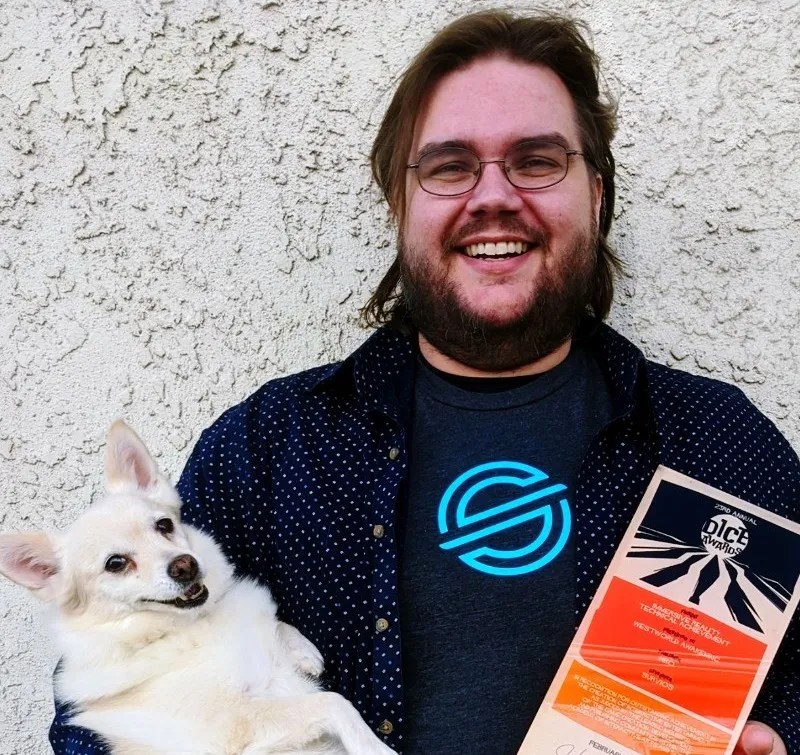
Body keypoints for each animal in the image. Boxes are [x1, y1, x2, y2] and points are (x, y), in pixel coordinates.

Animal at [0, 422, 396, 752]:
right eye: (115, 563)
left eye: (164, 525)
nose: (185, 564)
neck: (191, 625)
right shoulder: (236, 724)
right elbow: (334, 704)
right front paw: (376, 749)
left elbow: (279, 628)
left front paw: (303, 651)